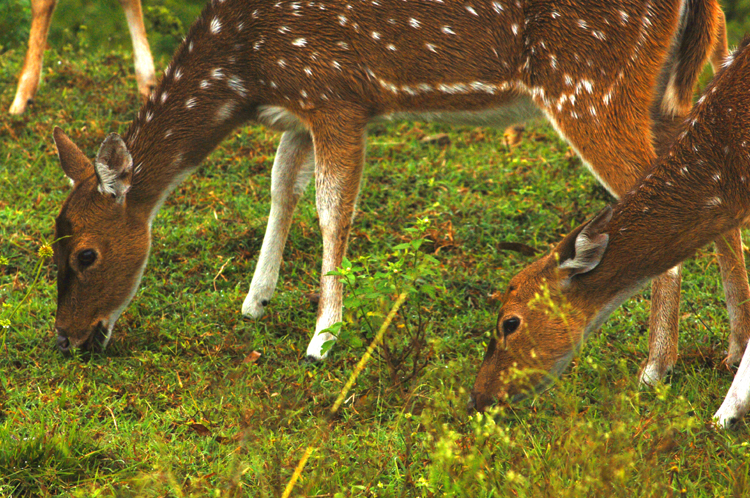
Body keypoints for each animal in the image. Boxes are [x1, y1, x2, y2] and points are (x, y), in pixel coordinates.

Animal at [50, 0, 748, 372]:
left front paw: (322, 339)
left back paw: (655, 368)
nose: (66, 337)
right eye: (49, 244)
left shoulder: (335, 93)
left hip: (589, 83)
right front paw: (256, 300)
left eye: (86, 253)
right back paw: (729, 353)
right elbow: (280, 187)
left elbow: (332, 211)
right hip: (665, 95)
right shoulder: (302, 107)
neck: (245, 73)